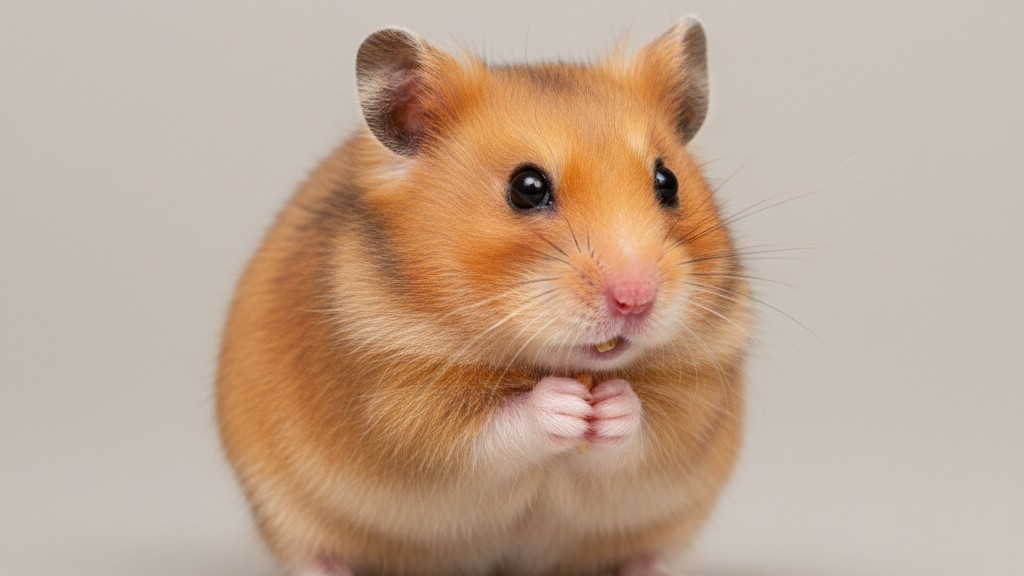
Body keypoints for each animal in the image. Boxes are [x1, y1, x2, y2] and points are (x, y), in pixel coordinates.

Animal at [217, 16, 751, 576]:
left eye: (667, 181)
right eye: (527, 187)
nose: (635, 300)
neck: (550, 362)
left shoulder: (700, 398)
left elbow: (649, 427)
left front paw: (610, 406)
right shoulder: (396, 406)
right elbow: (494, 428)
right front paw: (567, 404)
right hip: (286, 512)